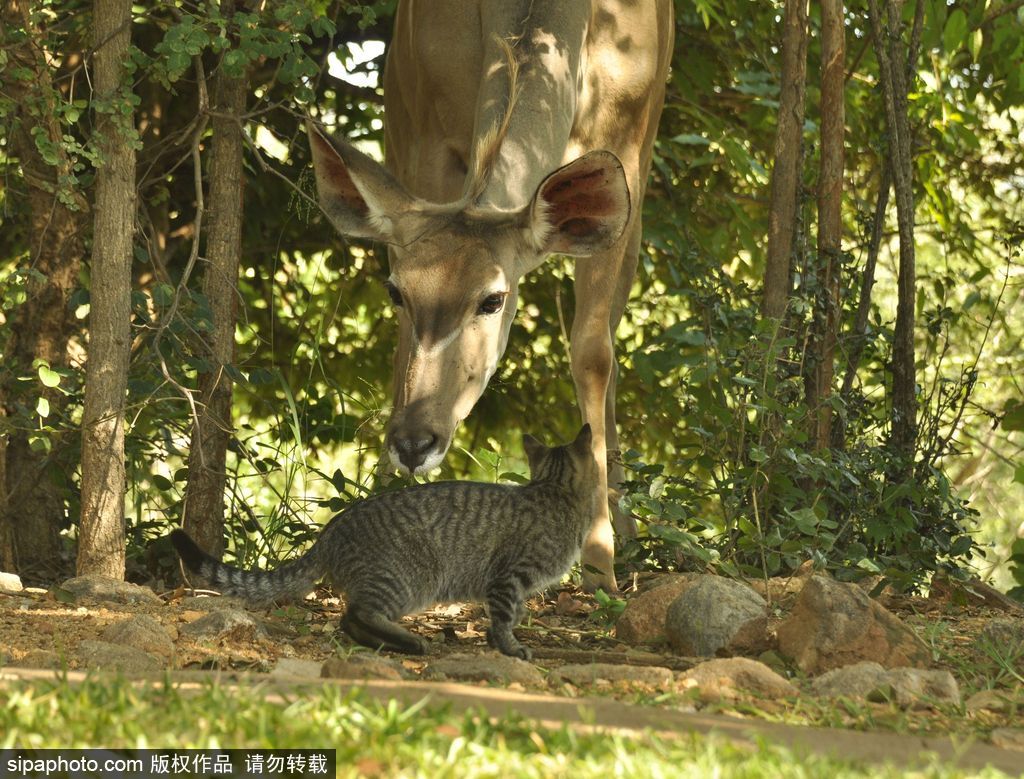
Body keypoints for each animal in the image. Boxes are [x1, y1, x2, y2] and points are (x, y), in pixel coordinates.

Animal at [169, 425, 598, 655]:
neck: (553, 490)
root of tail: (331, 529)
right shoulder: (509, 578)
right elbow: (506, 615)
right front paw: (510, 646)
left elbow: (511, 614)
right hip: (410, 579)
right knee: (359, 613)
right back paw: (408, 641)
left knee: (348, 619)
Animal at [307, 0, 675, 589]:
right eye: (397, 293)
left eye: (492, 299)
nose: (415, 443)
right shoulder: (425, 145)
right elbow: (402, 346)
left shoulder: (626, 145)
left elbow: (592, 353)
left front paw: (600, 565)